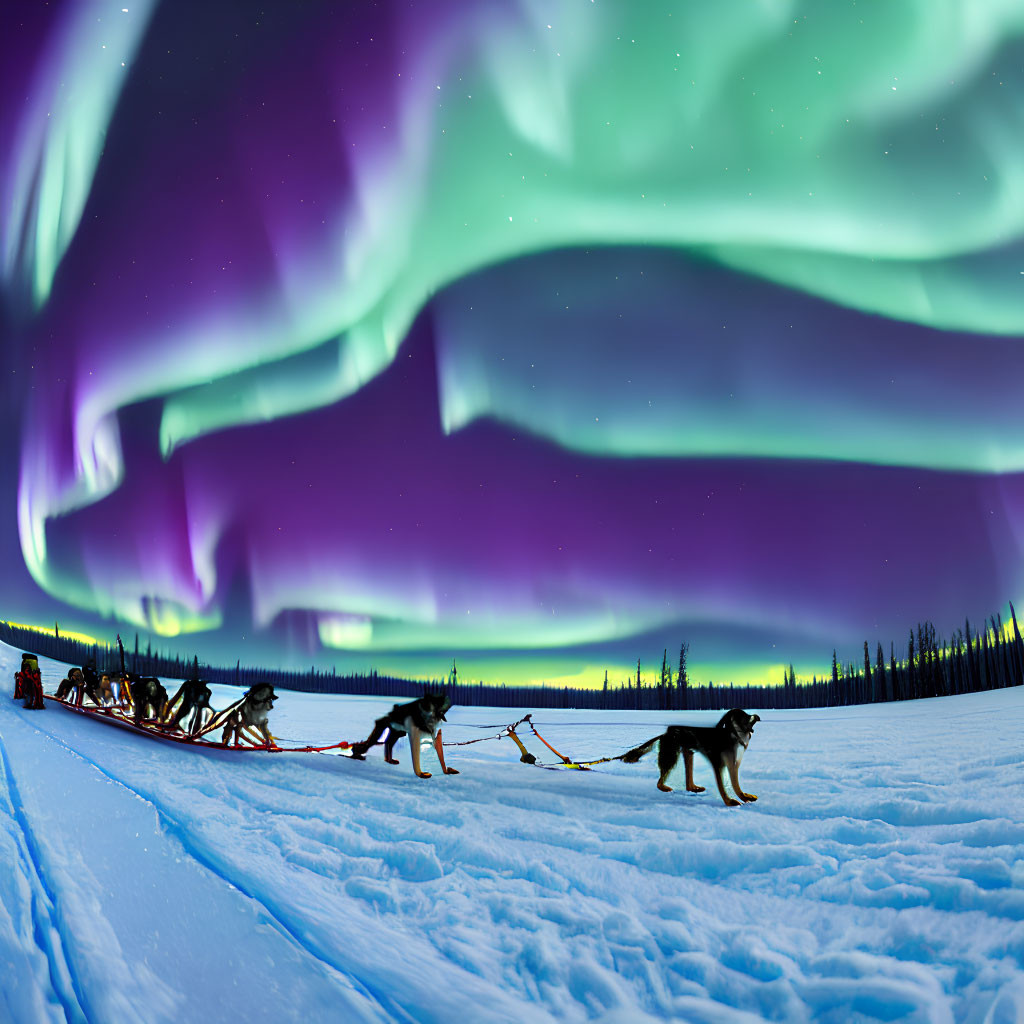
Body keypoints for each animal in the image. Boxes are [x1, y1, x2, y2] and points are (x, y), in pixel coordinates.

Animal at [614, 708, 761, 802]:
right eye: (744, 716)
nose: (757, 716)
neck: (733, 736)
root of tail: (665, 733)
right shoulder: (718, 763)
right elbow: (723, 786)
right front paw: (730, 802)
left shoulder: (733, 764)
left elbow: (736, 785)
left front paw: (744, 797)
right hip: (671, 754)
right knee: (659, 782)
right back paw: (665, 788)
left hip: (687, 752)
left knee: (687, 779)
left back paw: (693, 788)